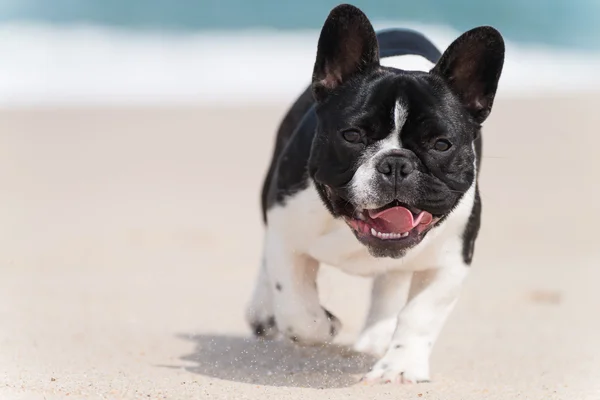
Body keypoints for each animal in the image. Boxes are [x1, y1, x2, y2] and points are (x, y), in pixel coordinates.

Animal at [246, 3, 504, 384]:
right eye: (352, 135)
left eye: (442, 144)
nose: (395, 163)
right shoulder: (285, 232)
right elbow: (297, 309)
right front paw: (323, 324)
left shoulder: (451, 261)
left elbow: (421, 314)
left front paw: (401, 366)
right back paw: (262, 311)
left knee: (390, 286)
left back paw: (376, 338)